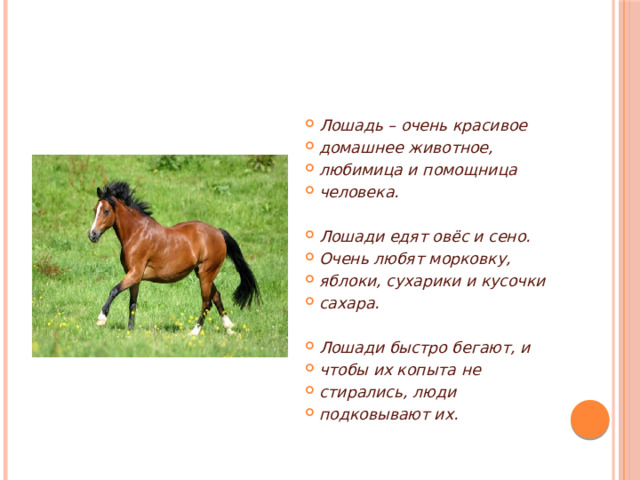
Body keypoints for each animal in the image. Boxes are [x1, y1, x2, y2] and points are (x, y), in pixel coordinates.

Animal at [87, 181, 259, 335]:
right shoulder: (135, 277)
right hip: (203, 273)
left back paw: (194, 332)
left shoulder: (135, 274)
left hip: (206, 273)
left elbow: (114, 290)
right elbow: (132, 303)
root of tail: (218, 232)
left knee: (207, 302)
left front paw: (101, 319)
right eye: (95, 209)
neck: (136, 234)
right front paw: (130, 330)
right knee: (216, 296)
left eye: (106, 211)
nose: (92, 235)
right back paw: (229, 328)